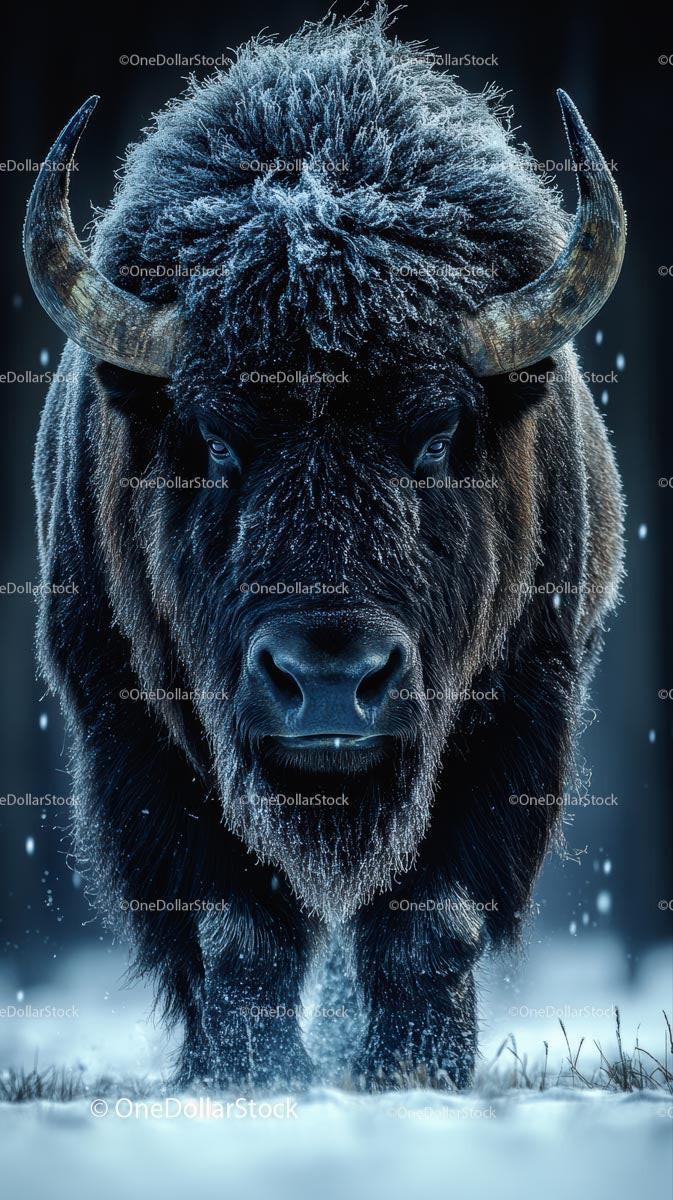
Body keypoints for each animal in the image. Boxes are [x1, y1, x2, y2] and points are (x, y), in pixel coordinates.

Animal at [24, 12, 625, 1089]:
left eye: (435, 436)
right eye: (217, 440)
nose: (332, 680)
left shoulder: (517, 709)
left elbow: (431, 920)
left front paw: (412, 1070)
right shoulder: (129, 727)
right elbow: (232, 928)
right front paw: (252, 1074)